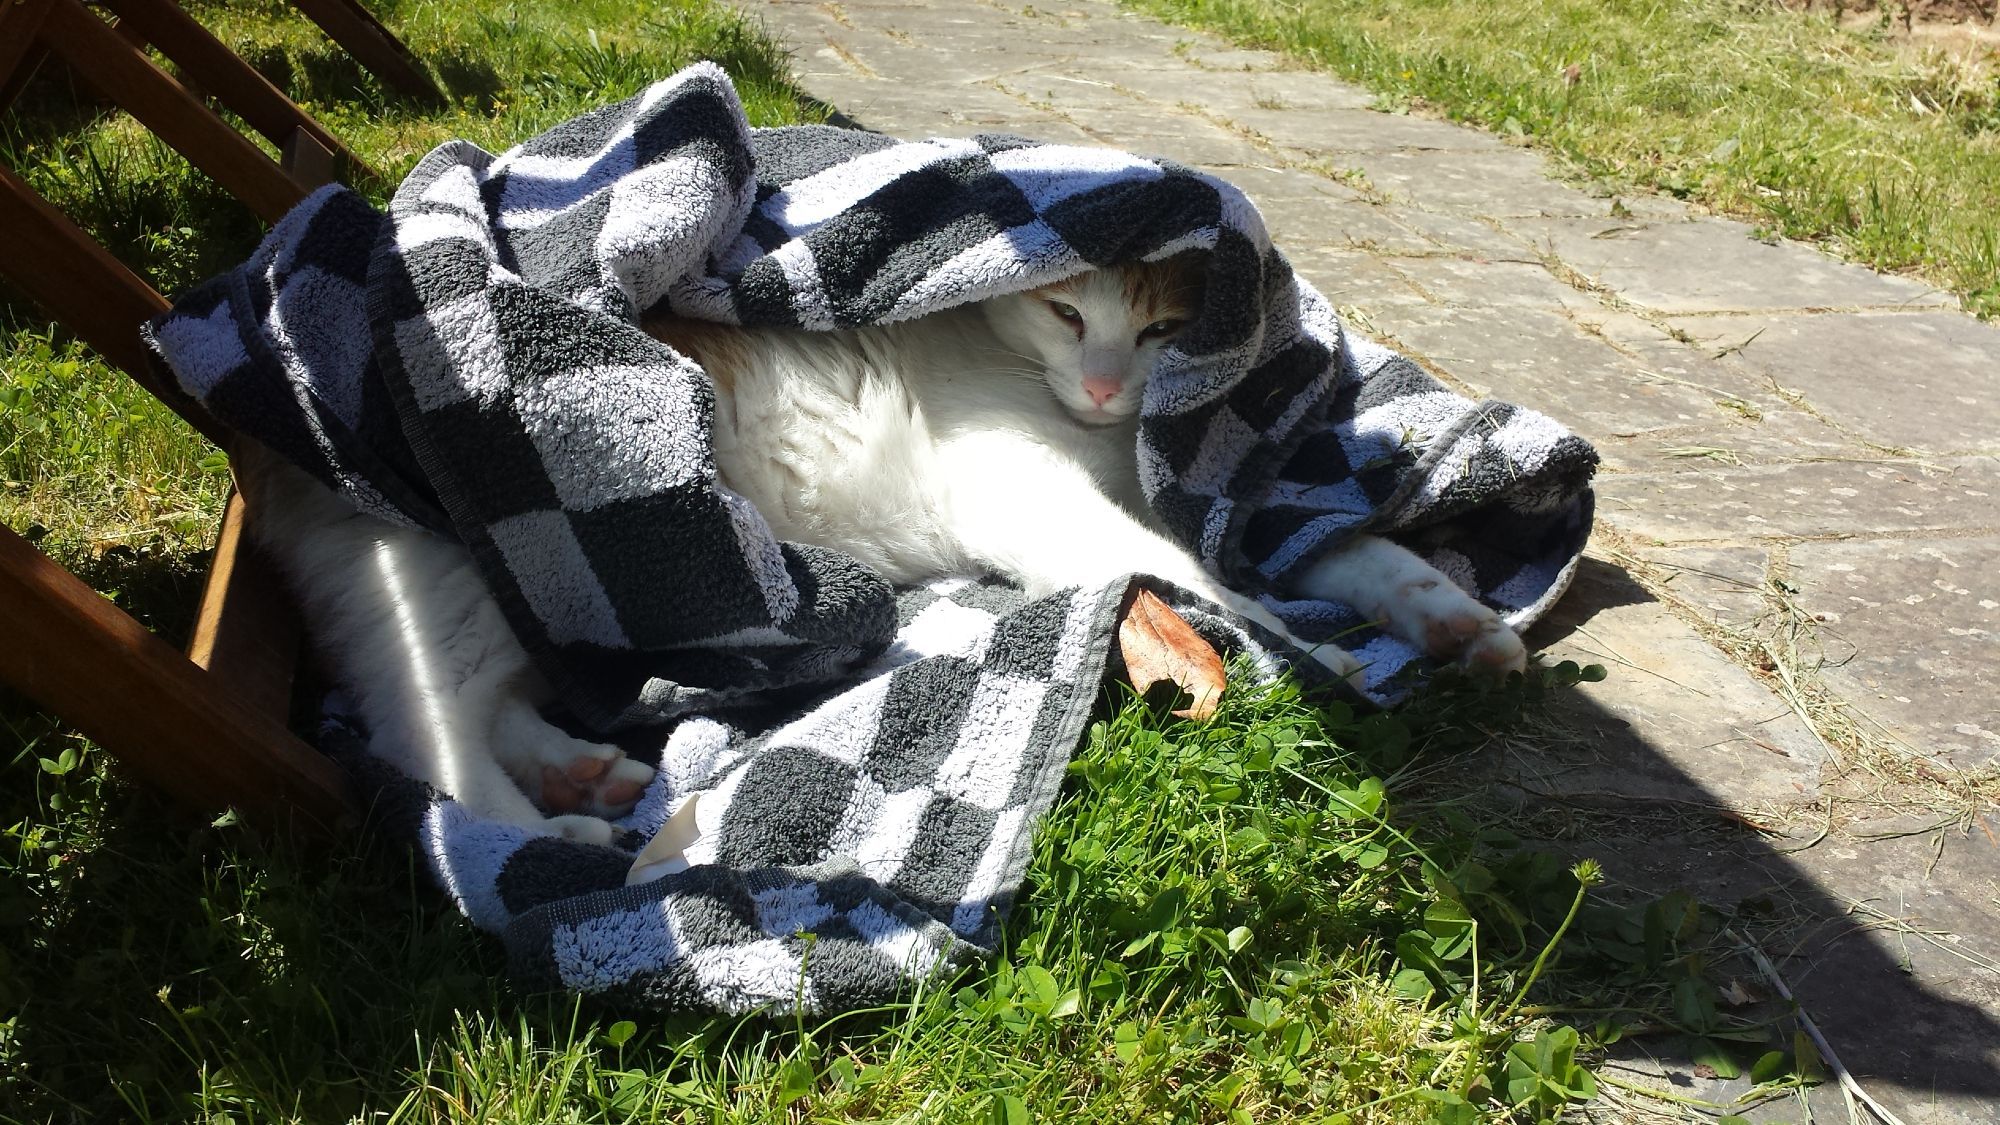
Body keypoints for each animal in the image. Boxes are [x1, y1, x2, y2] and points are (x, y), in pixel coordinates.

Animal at [238, 256, 1512, 840]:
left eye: (1160, 331)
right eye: (1065, 311)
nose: (1108, 387)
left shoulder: (1196, 494)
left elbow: (1327, 556)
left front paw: (1450, 618)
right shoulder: (1032, 495)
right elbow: (1205, 580)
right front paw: (1319, 658)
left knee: (489, 702)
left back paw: (579, 771)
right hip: (466, 577)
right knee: (422, 728)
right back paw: (541, 830)